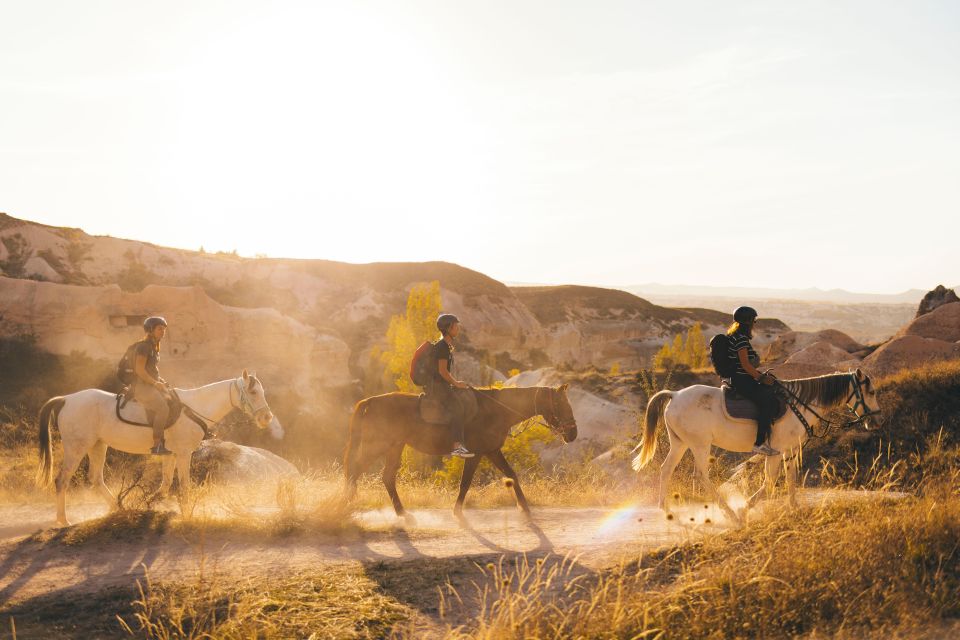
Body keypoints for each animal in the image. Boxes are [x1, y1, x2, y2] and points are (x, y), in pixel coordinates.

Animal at [36, 370, 278, 524]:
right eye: (253, 392)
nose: (267, 418)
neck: (194, 409)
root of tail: (66, 399)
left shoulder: (170, 454)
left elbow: (165, 483)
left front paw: (149, 502)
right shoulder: (183, 454)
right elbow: (184, 485)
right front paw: (187, 513)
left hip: (98, 445)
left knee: (96, 479)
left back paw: (119, 508)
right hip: (76, 448)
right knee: (62, 480)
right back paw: (63, 520)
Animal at [344, 384, 576, 520]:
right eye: (563, 405)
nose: (573, 434)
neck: (496, 410)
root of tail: (370, 401)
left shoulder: (492, 451)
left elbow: (511, 474)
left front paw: (524, 508)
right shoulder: (478, 453)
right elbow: (465, 482)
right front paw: (457, 511)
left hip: (395, 446)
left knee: (387, 477)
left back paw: (401, 513)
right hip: (377, 446)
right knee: (355, 470)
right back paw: (346, 503)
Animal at [632, 368, 880, 524]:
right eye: (871, 391)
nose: (876, 420)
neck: (800, 404)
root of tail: (674, 395)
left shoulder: (791, 450)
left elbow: (790, 478)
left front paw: (794, 508)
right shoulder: (776, 451)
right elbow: (770, 481)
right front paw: (744, 509)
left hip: (680, 443)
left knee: (666, 469)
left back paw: (666, 509)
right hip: (700, 444)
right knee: (701, 475)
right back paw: (730, 514)